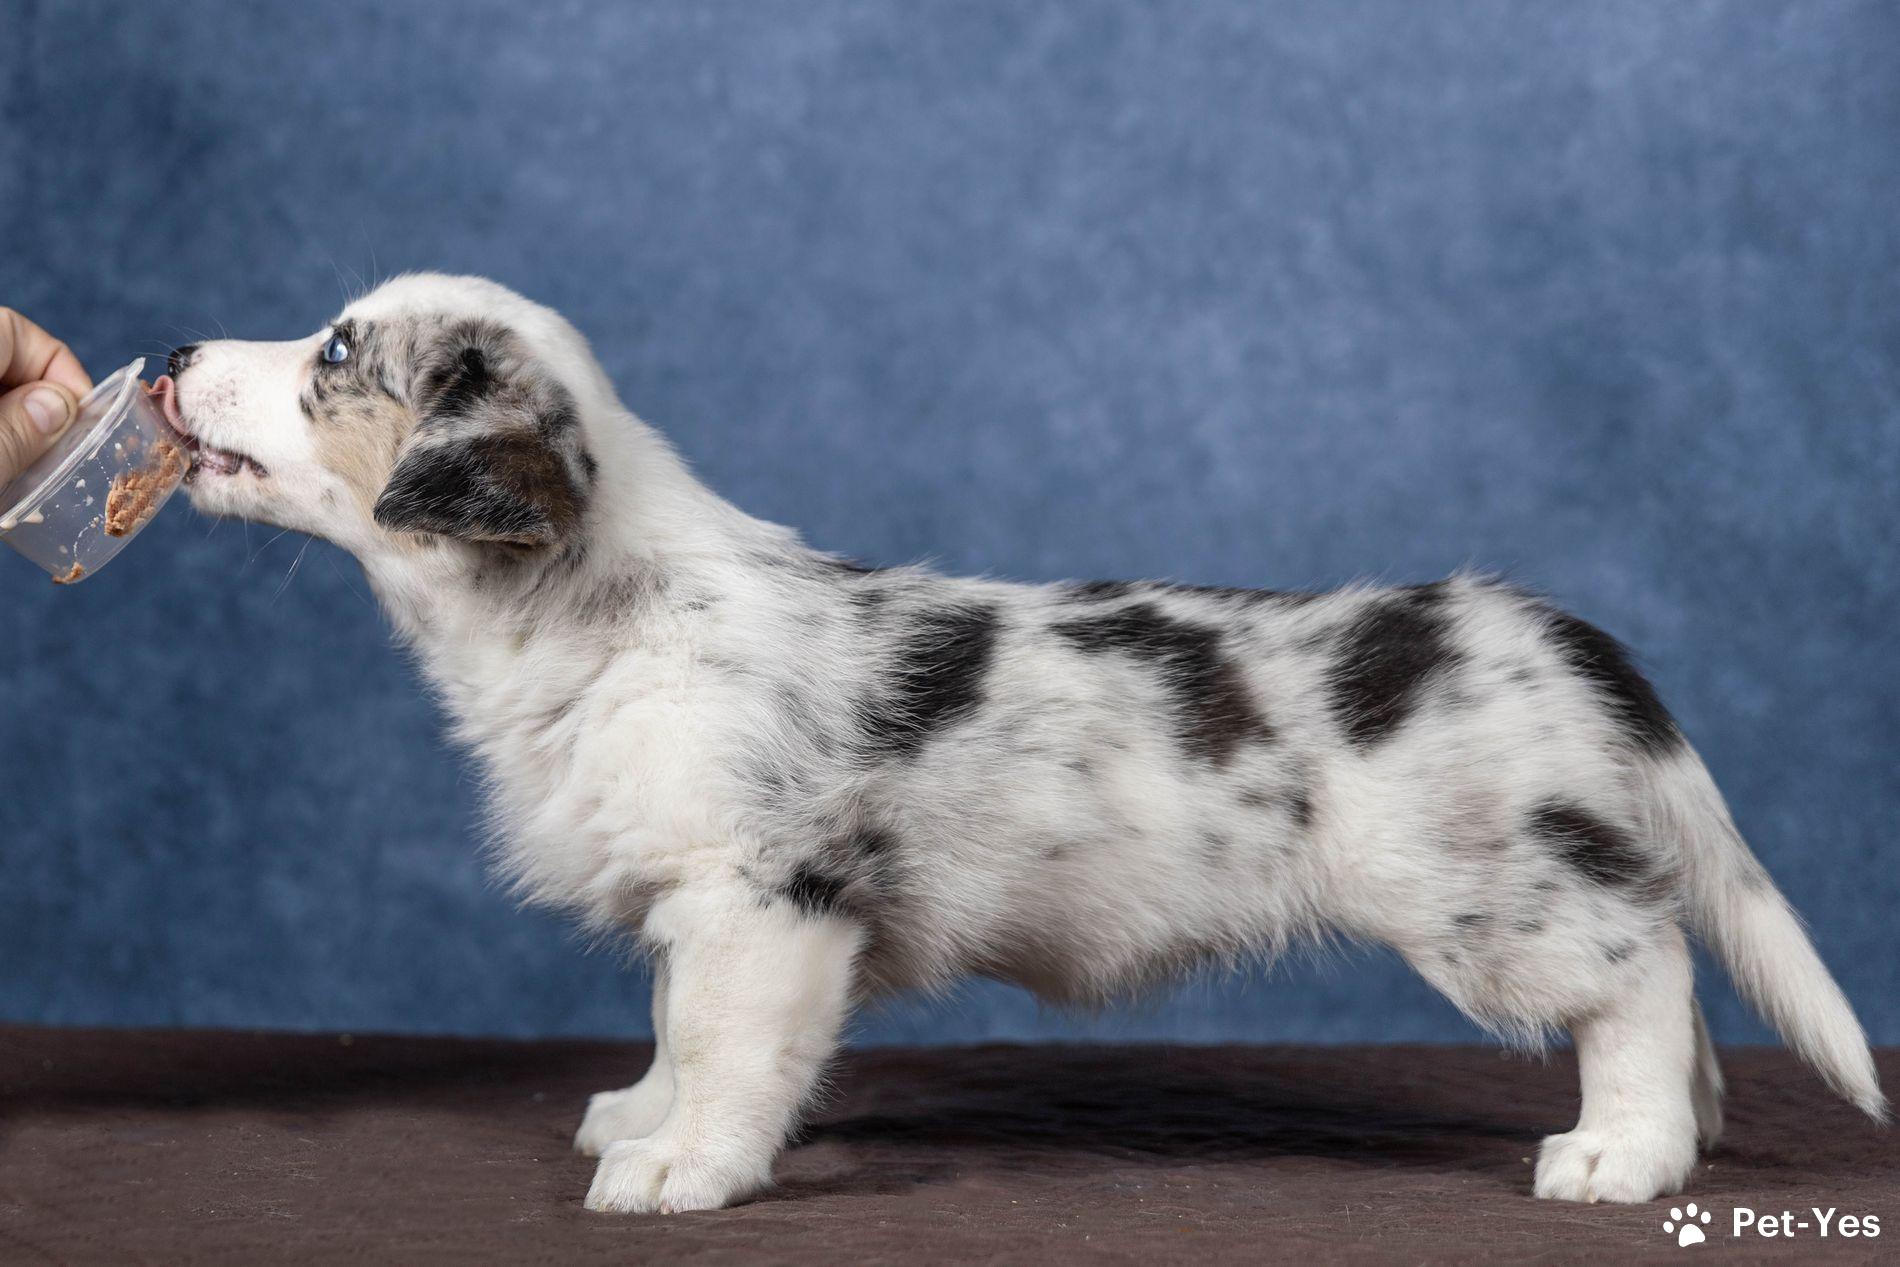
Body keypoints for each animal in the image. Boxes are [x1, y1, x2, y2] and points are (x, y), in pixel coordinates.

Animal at [161, 272, 1884, 1214]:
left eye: (334, 355)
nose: (171, 356)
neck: (591, 608)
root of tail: (1545, 630)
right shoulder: (694, 893)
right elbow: (666, 1026)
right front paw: (641, 1115)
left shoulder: (762, 895)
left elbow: (724, 1045)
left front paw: (682, 1166)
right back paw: (1685, 1133)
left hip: (1477, 890)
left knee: (1643, 964)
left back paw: (1622, 1151)